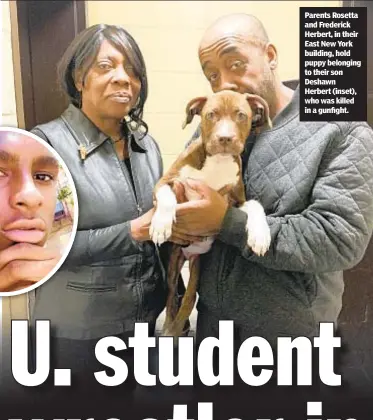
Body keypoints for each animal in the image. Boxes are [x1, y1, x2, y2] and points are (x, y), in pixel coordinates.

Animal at [150, 90, 272, 336]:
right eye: (211, 115)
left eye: (241, 115)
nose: (225, 138)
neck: (218, 160)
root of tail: (187, 254)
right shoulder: (165, 182)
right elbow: (167, 198)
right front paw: (160, 225)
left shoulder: (237, 200)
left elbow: (256, 205)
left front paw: (261, 236)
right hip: (173, 263)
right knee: (172, 297)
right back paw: (169, 329)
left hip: (197, 266)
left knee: (188, 299)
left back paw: (175, 330)